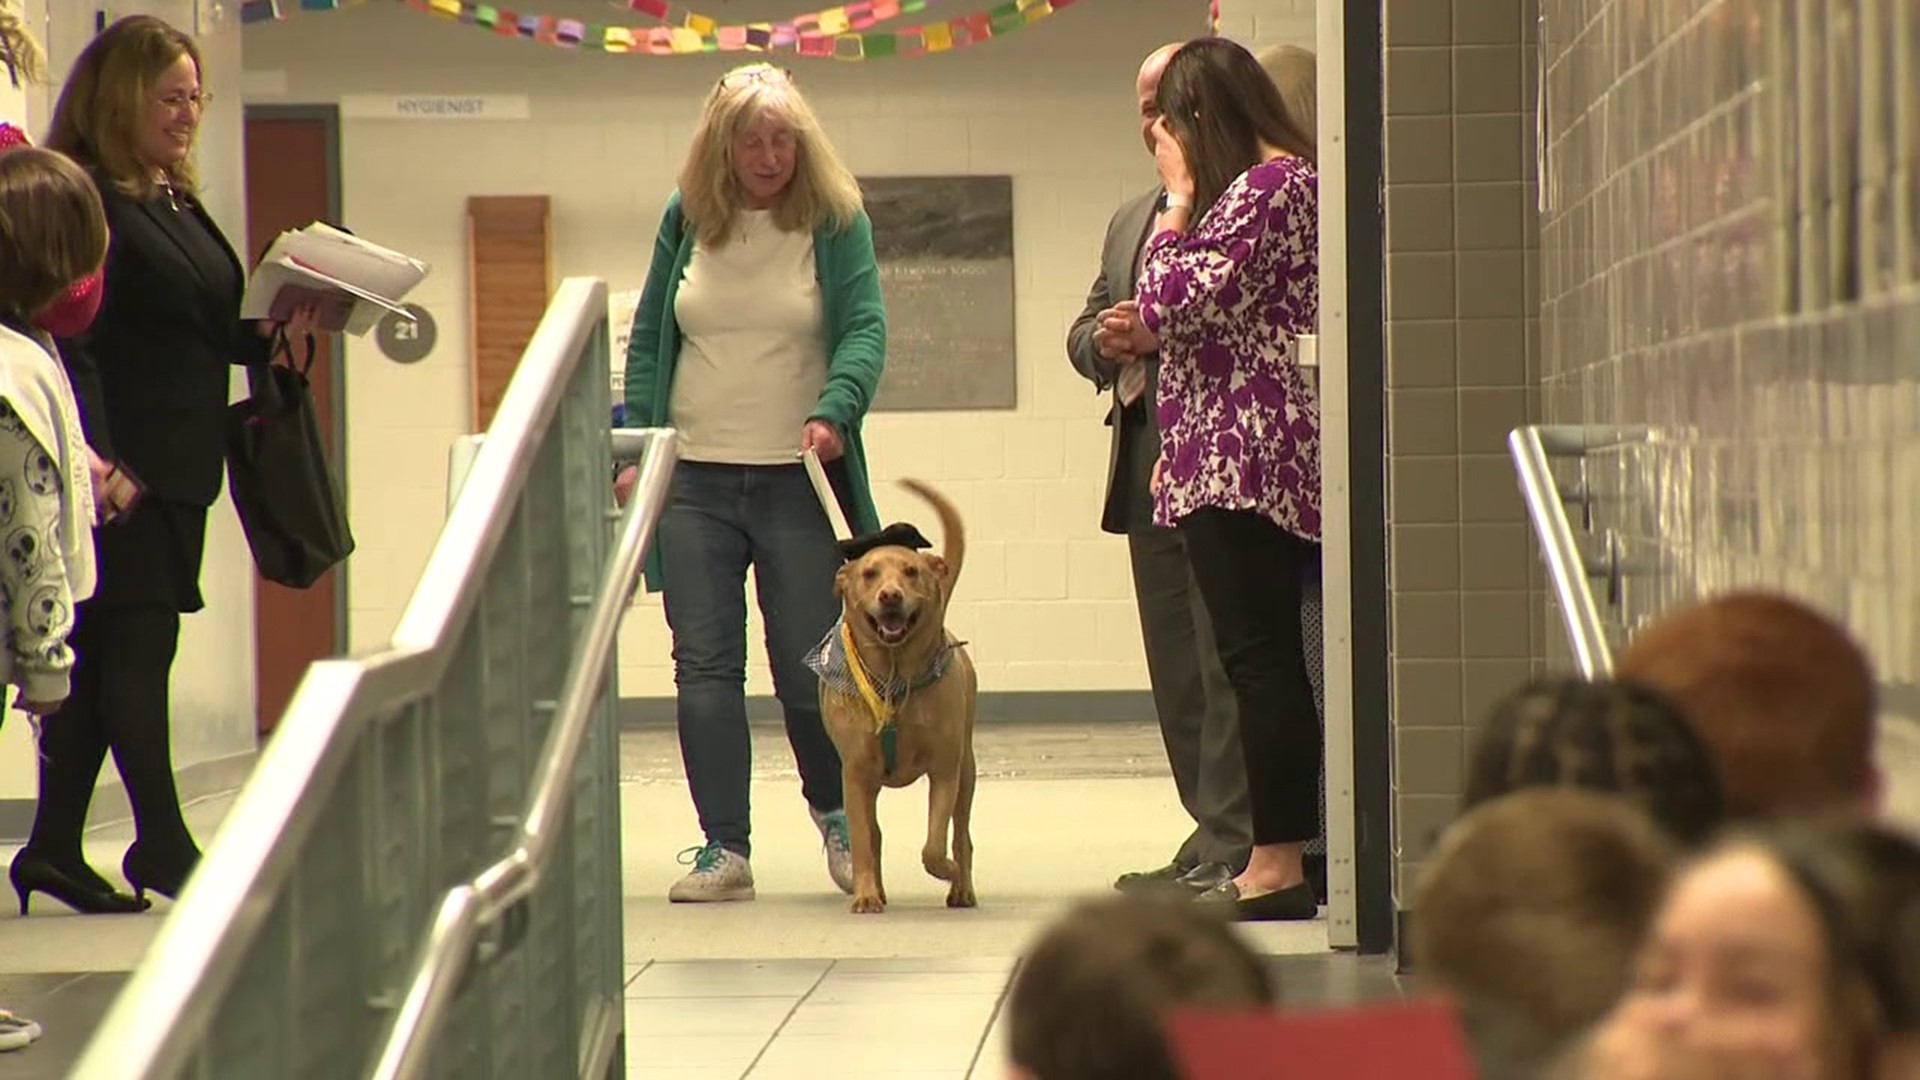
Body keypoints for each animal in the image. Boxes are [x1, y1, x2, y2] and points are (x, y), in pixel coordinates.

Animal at [817, 476, 983, 907]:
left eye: (911, 571)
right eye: (870, 573)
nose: (890, 595)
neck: (893, 681)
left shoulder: (944, 769)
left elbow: (935, 844)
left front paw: (948, 871)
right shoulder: (856, 774)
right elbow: (863, 840)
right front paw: (866, 894)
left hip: (967, 769)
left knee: (962, 834)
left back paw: (962, 886)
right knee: (874, 836)